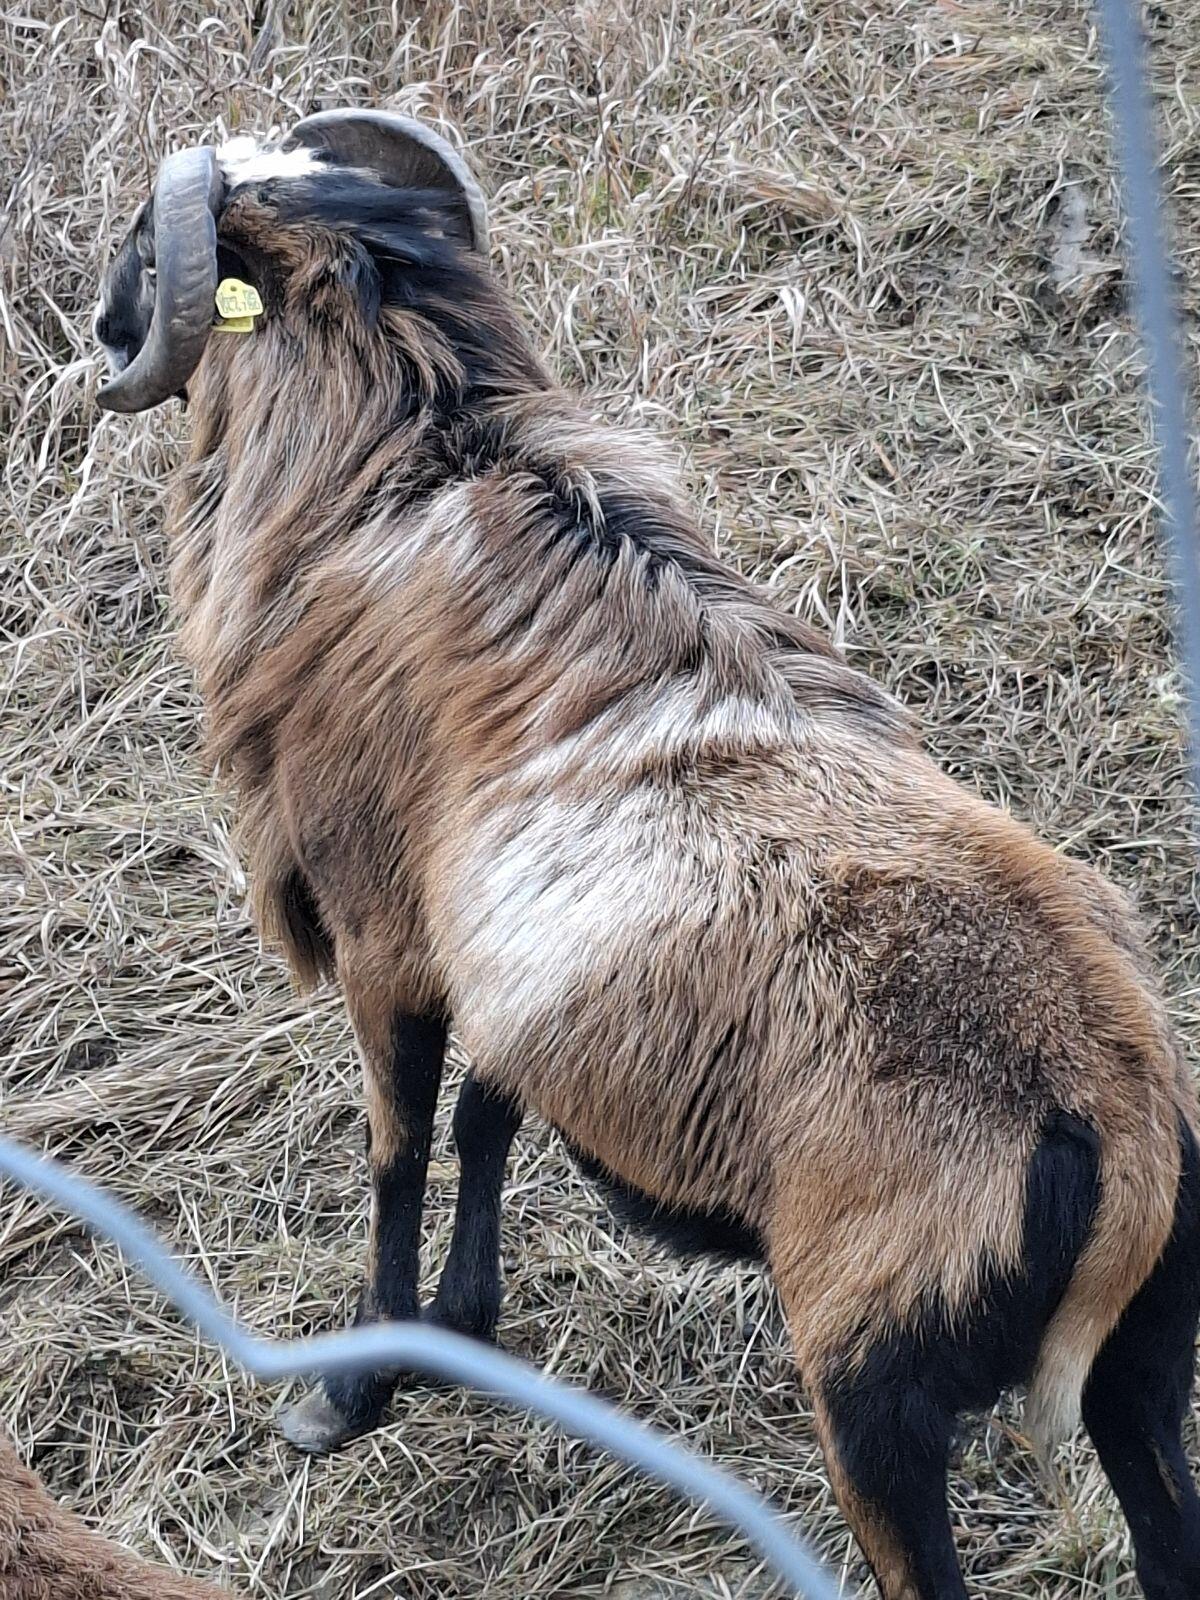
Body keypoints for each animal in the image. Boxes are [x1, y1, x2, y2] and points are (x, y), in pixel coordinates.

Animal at [92, 111, 1200, 1600]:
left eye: (147, 245)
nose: (102, 331)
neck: (402, 463)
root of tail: (1110, 1113)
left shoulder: (384, 936)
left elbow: (397, 1147)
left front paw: (350, 1391)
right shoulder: (504, 969)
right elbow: (486, 1120)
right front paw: (468, 1321)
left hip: (874, 1393)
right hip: (1145, 1366)